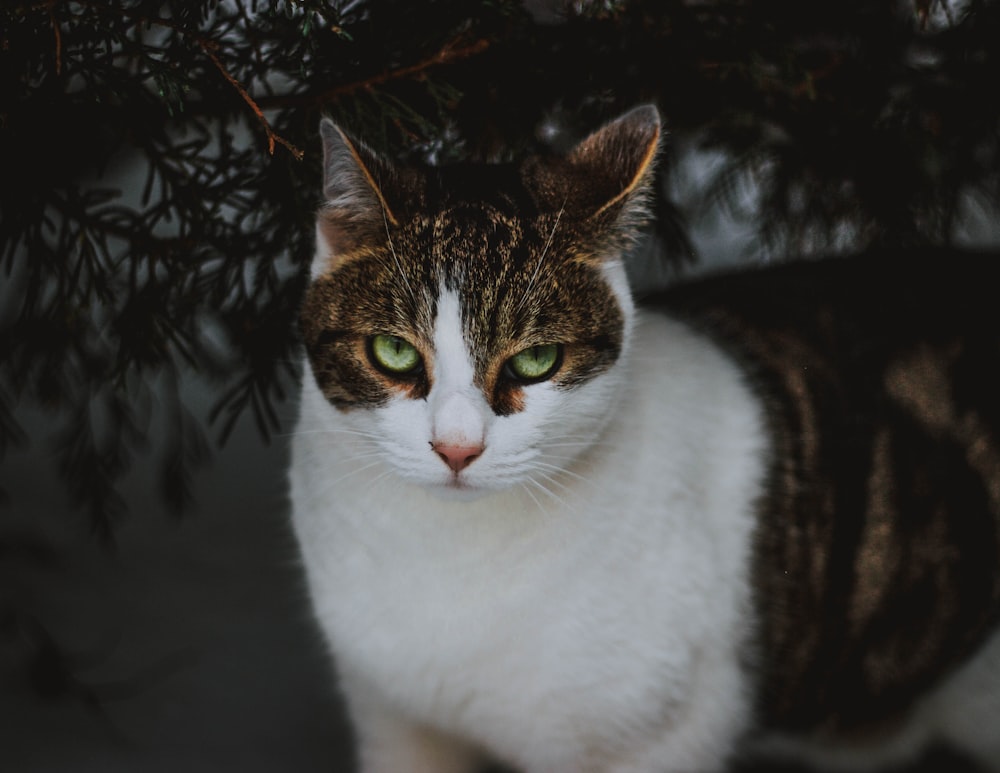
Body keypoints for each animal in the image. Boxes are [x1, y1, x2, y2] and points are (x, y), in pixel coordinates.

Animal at [290, 104, 1000, 772]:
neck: (447, 559)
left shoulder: (654, 741)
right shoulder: (391, 716)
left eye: (537, 360)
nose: (456, 448)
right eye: (394, 352)